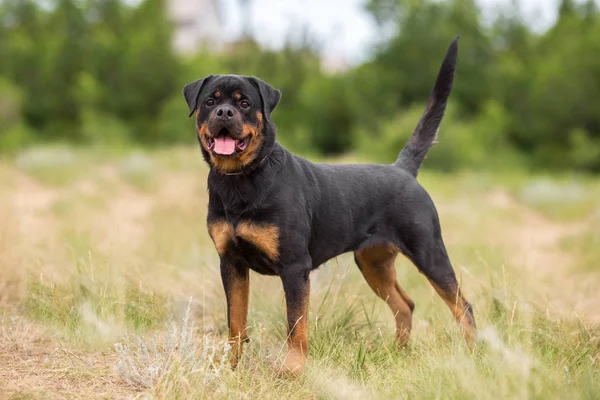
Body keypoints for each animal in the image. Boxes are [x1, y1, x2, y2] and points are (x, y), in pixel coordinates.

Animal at [183, 36, 478, 374]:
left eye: (244, 104)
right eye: (210, 101)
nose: (224, 112)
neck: (242, 179)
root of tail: (403, 169)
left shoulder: (295, 267)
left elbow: (295, 327)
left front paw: (293, 372)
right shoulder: (231, 263)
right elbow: (236, 323)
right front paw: (231, 368)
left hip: (429, 252)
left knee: (463, 307)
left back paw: (474, 355)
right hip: (373, 263)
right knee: (405, 305)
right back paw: (400, 354)